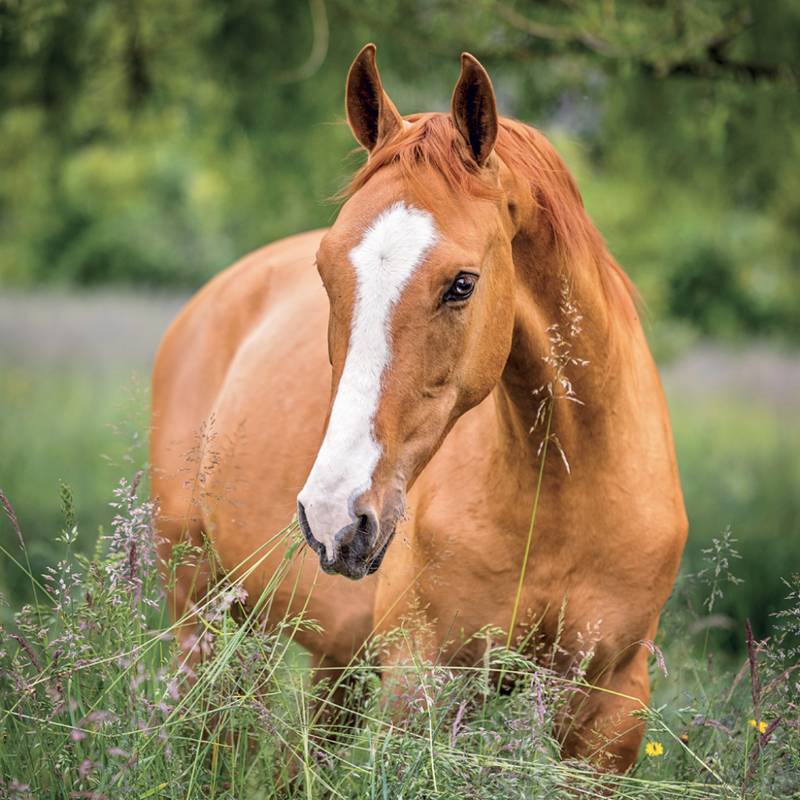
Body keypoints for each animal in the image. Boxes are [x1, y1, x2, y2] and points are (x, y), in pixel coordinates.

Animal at [150, 43, 687, 772]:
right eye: (325, 272)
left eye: (462, 283)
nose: (334, 517)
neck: (565, 490)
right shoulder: (420, 684)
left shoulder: (611, 708)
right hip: (201, 608)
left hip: (334, 661)